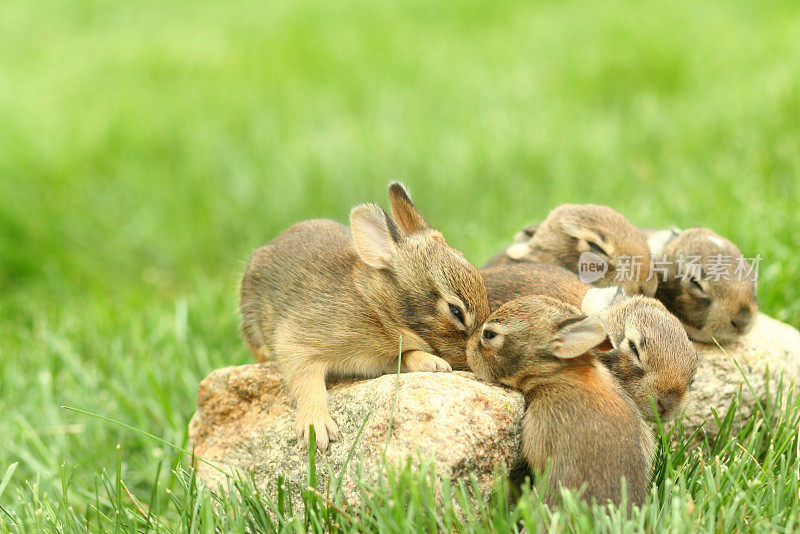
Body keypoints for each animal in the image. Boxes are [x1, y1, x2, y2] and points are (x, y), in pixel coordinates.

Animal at [239, 182, 488, 450]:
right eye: (456, 311)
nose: (473, 355)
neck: (377, 308)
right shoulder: (298, 340)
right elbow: (306, 381)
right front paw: (317, 429)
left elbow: (406, 355)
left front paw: (433, 364)